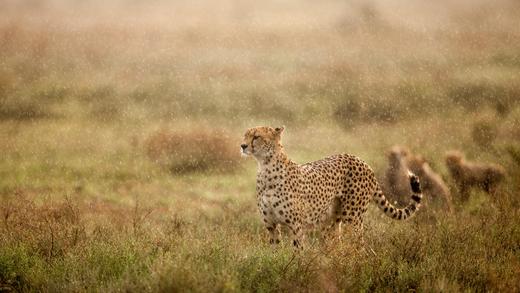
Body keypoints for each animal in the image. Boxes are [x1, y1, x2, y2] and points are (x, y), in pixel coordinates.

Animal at [241, 125, 422, 246]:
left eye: (256, 137)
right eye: (245, 135)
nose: (242, 146)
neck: (265, 167)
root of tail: (361, 160)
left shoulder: (296, 226)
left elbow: (298, 253)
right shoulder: (271, 226)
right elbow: (275, 253)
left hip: (353, 217)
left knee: (359, 246)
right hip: (331, 222)